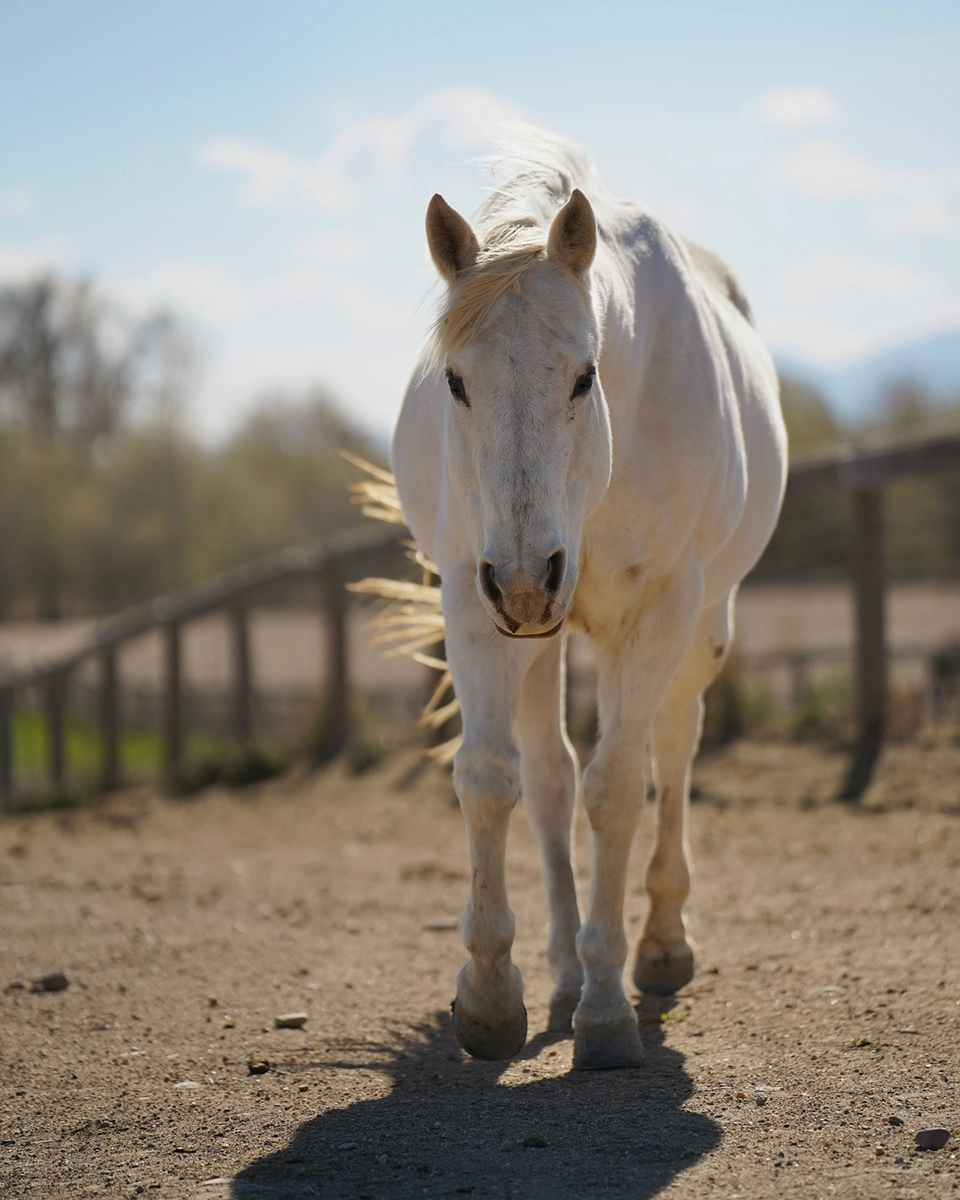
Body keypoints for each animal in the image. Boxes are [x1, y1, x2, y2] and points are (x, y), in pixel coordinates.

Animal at [390, 128, 787, 1070]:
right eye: (454, 381)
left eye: (583, 376)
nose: (527, 575)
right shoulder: (473, 595)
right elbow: (492, 778)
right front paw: (491, 996)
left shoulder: (660, 612)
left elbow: (618, 791)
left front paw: (608, 1014)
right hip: (539, 632)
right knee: (548, 779)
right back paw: (564, 976)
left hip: (693, 628)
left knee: (671, 752)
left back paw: (659, 947)